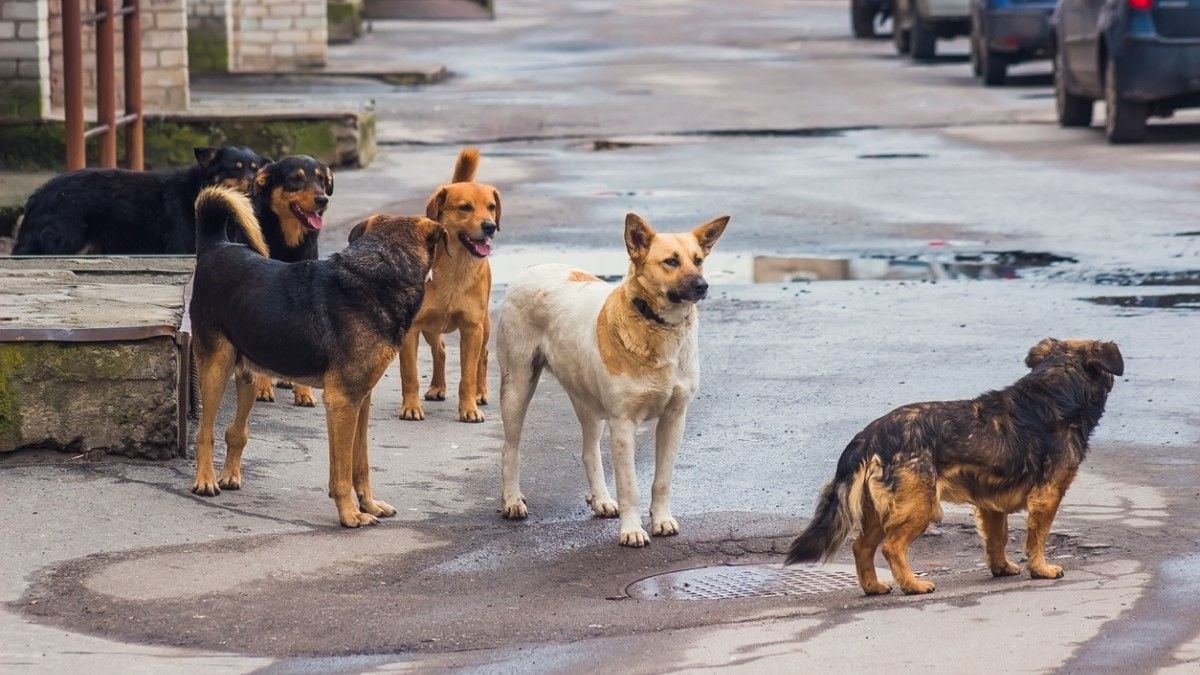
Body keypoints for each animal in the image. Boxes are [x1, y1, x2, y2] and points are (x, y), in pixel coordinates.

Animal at [13, 145, 265, 254]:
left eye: (255, 169)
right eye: (235, 168)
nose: (254, 183)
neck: (198, 189)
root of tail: (37, 195)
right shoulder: (182, 247)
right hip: (62, 242)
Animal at [189, 183, 444, 526]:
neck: (381, 271)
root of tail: (216, 246)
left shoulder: (361, 400)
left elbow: (360, 464)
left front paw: (369, 504)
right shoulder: (342, 402)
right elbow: (342, 471)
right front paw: (350, 514)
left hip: (249, 374)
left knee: (235, 431)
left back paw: (229, 475)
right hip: (216, 367)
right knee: (205, 432)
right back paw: (205, 480)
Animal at [243, 153, 338, 403]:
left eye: (321, 180)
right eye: (295, 179)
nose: (323, 199)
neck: (288, 242)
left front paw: (303, 393)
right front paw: (263, 388)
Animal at [494, 212, 724, 542]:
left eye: (698, 260)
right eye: (670, 261)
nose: (702, 286)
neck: (657, 326)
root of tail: (533, 268)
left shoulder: (674, 418)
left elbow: (662, 480)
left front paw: (661, 520)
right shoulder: (623, 423)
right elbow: (629, 486)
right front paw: (632, 530)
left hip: (586, 401)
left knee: (589, 451)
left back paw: (601, 499)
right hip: (517, 387)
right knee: (510, 449)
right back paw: (512, 500)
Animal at [787, 336, 1123, 593]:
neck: (1055, 391)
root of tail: (869, 436)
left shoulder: (991, 505)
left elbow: (997, 539)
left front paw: (1001, 567)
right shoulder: (1047, 495)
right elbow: (1037, 537)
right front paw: (1040, 569)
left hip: (878, 510)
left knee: (861, 547)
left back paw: (874, 587)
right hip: (920, 505)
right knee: (892, 547)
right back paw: (913, 585)